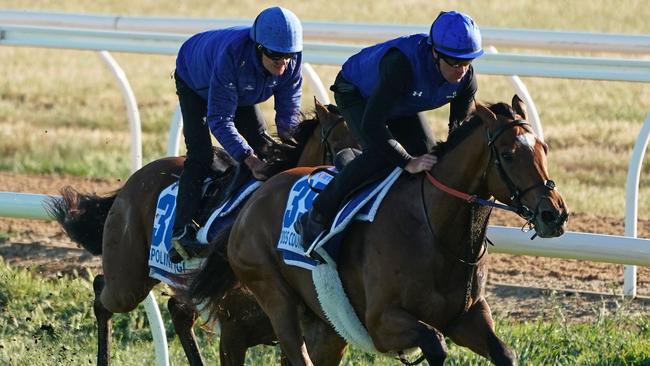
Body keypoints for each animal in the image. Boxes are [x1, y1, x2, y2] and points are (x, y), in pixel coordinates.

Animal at [47, 98, 356, 366]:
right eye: (338, 147)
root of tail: (134, 180)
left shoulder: (315, 338)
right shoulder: (234, 334)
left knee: (178, 312)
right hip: (128, 280)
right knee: (103, 293)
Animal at [189, 96, 568, 364]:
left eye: (544, 148)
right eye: (508, 154)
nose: (554, 215)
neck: (435, 232)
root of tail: (253, 199)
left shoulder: (467, 316)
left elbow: (505, 353)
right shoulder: (381, 323)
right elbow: (436, 345)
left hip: (324, 324)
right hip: (274, 296)